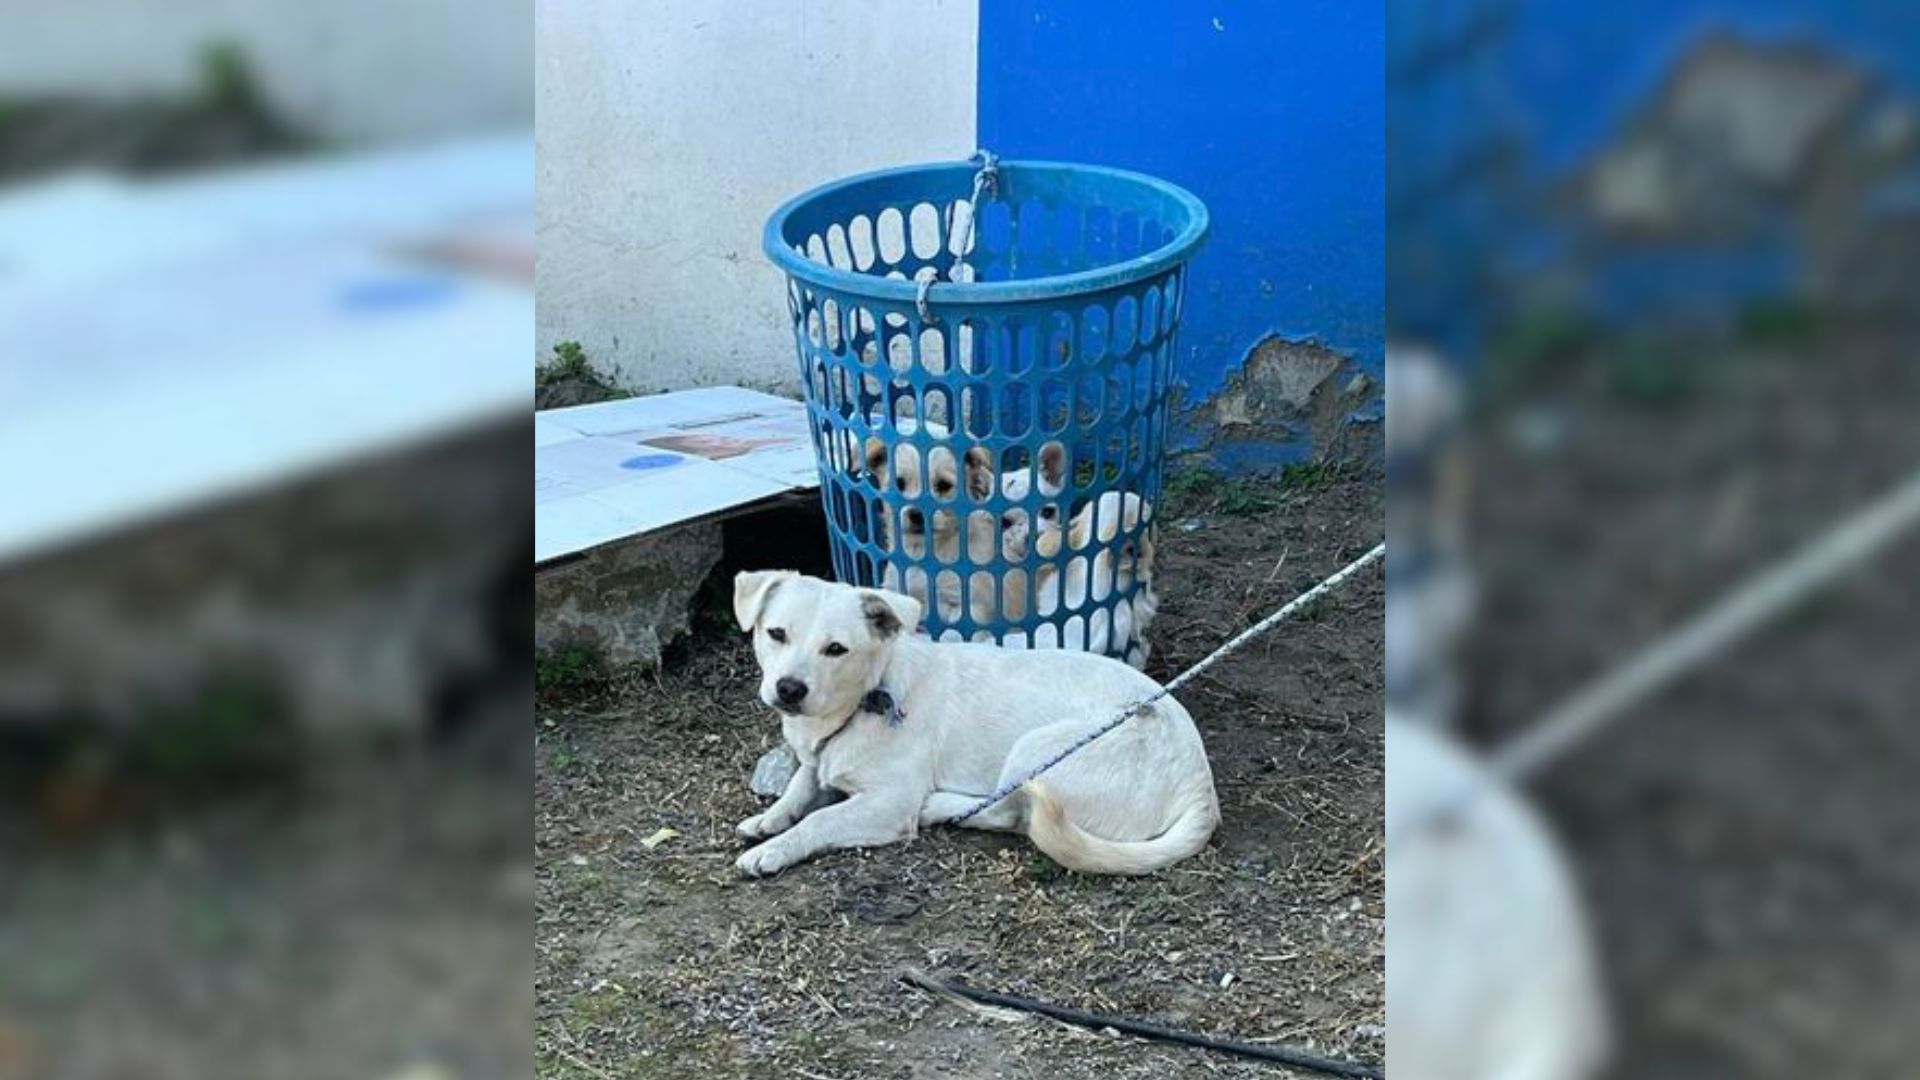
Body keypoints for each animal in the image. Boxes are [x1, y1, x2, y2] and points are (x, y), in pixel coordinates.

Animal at [733, 572, 1213, 876]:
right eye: (776, 634)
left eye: (836, 649)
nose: (789, 689)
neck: (868, 696)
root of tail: (1201, 787)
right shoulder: (818, 762)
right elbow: (800, 785)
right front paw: (769, 820)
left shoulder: (889, 805)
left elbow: (819, 819)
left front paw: (774, 850)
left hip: (1034, 750)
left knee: (1008, 814)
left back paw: (943, 807)